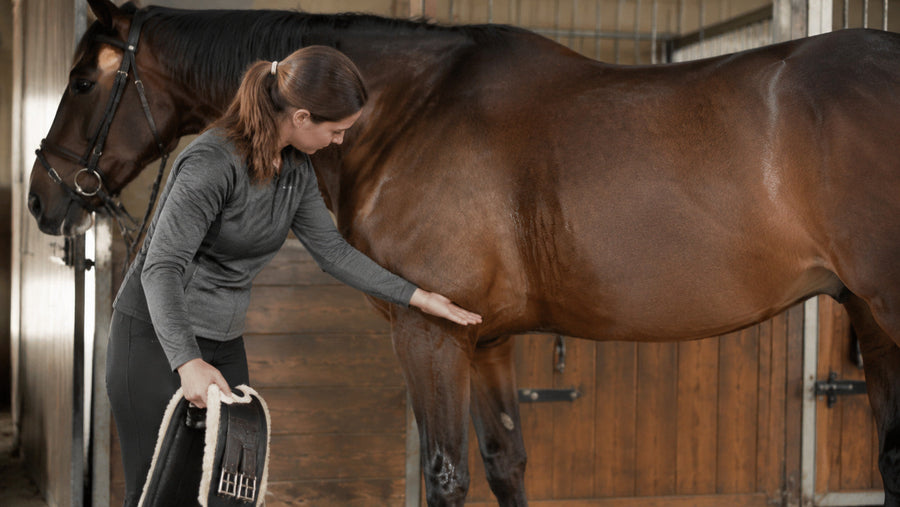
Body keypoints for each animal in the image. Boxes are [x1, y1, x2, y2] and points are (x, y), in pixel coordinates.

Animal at [27, 0, 900, 505]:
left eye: (83, 80)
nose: (42, 197)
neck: (412, 108)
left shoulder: (431, 334)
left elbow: (446, 472)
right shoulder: (487, 341)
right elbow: (506, 459)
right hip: (873, 321)